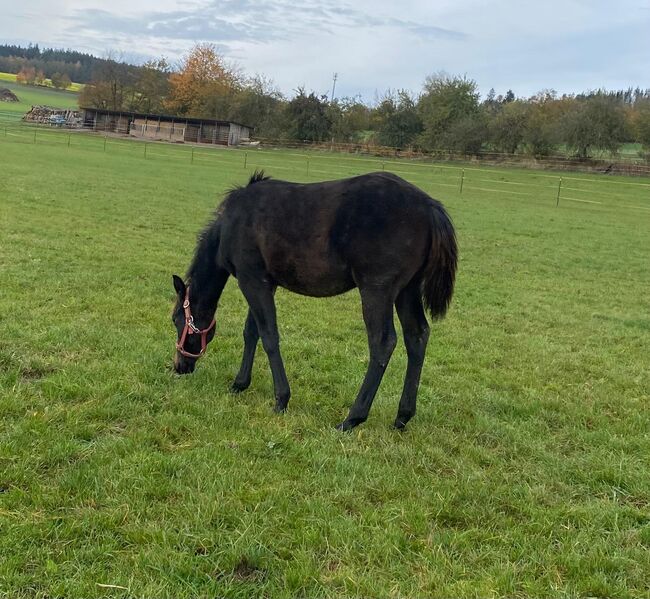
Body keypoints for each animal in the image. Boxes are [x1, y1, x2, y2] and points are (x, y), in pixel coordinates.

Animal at [172, 171, 456, 428]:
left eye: (176, 320)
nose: (179, 366)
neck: (231, 225)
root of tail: (429, 206)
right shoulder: (264, 282)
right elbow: (252, 332)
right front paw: (240, 384)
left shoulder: (251, 280)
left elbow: (269, 336)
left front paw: (281, 399)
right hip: (407, 290)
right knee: (417, 336)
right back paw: (402, 416)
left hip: (377, 290)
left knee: (383, 342)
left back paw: (353, 418)